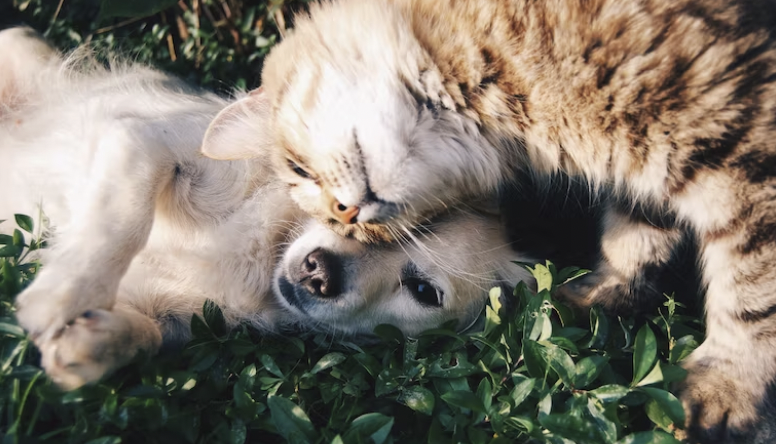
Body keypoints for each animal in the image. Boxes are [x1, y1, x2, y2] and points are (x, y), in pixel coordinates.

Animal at [202, 1, 776, 442]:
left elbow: (751, 293)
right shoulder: (645, 171)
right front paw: (597, 295)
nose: (347, 218)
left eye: (299, 171)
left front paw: (726, 388)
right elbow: (634, 237)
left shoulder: (741, 147)